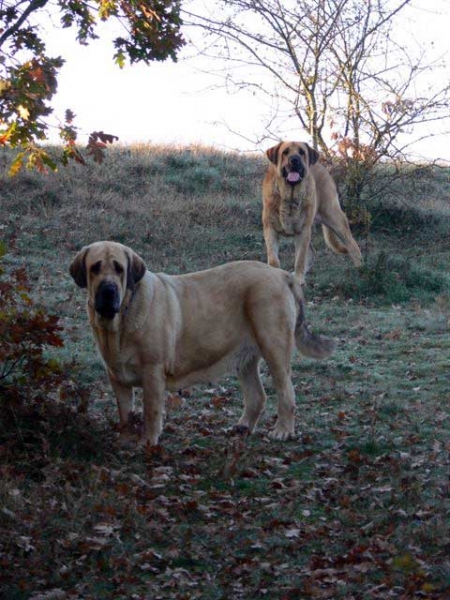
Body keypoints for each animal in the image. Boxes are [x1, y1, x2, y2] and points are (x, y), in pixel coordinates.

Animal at [68, 240, 332, 446]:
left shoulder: (152, 371)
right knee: (257, 395)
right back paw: (243, 426)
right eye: (95, 268)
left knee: (286, 391)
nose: (108, 290)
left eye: (119, 269)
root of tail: (283, 275)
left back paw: (283, 431)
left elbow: (150, 412)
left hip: (274, 347)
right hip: (246, 357)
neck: (121, 319)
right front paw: (124, 440)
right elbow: (124, 413)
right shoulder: (117, 376)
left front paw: (148, 442)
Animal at [262, 141, 364, 284]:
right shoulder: (270, 230)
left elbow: (300, 258)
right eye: (285, 152)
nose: (295, 160)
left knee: (352, 244)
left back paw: (361, 270)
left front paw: (299, 279)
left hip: (334, 217)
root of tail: (322, 167)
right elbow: (273, 259)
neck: (290, 196)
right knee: (312, 252)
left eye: (301, 152)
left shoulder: (303, 232)